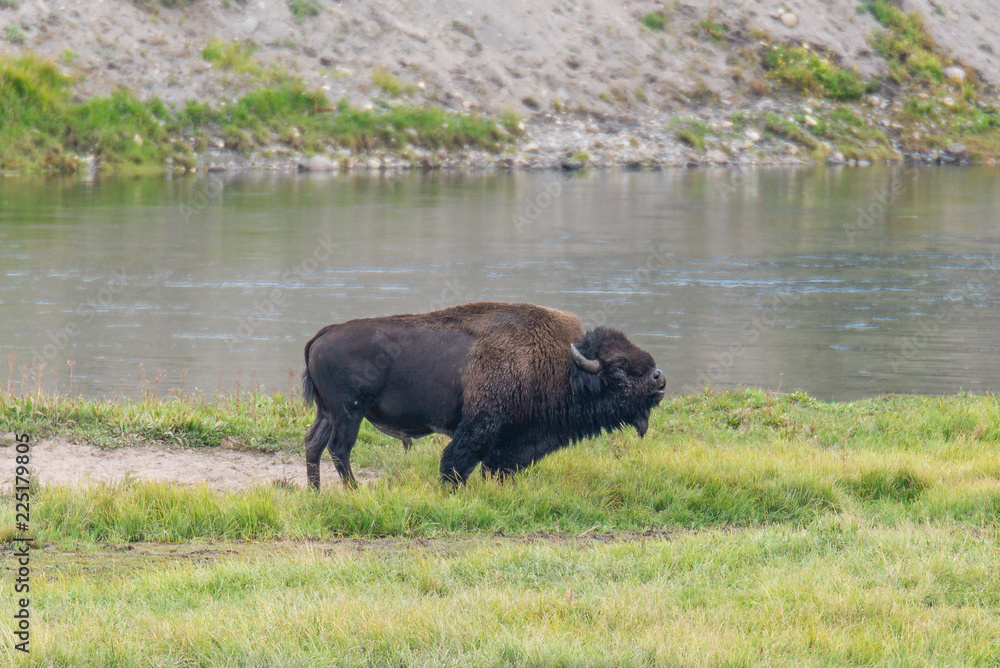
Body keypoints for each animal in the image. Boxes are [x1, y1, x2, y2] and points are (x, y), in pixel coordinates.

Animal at [300, 302, 668, 486]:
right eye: (618, 368)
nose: (659, 378)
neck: (562, 362)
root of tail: (325, 333)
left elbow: (497, 465)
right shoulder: (480, 424)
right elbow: (456, 461)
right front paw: (451, 489)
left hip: (327, 413)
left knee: (313, 444)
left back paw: (317, 492)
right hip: (350, 412)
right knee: (340, 449)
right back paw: (352, 490)